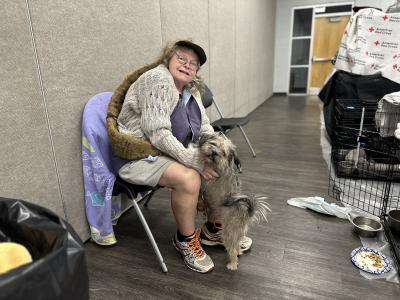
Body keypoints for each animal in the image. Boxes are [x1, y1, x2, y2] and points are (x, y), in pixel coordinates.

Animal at [198, 132, 270, 270]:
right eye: (213, 144)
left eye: (223, 152)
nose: (214, 152)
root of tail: (246, 214)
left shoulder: (207, 179)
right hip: (236, 233)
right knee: (236, 246)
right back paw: (239, 252)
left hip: (228, 233)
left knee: (232, 249)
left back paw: (232, 264)